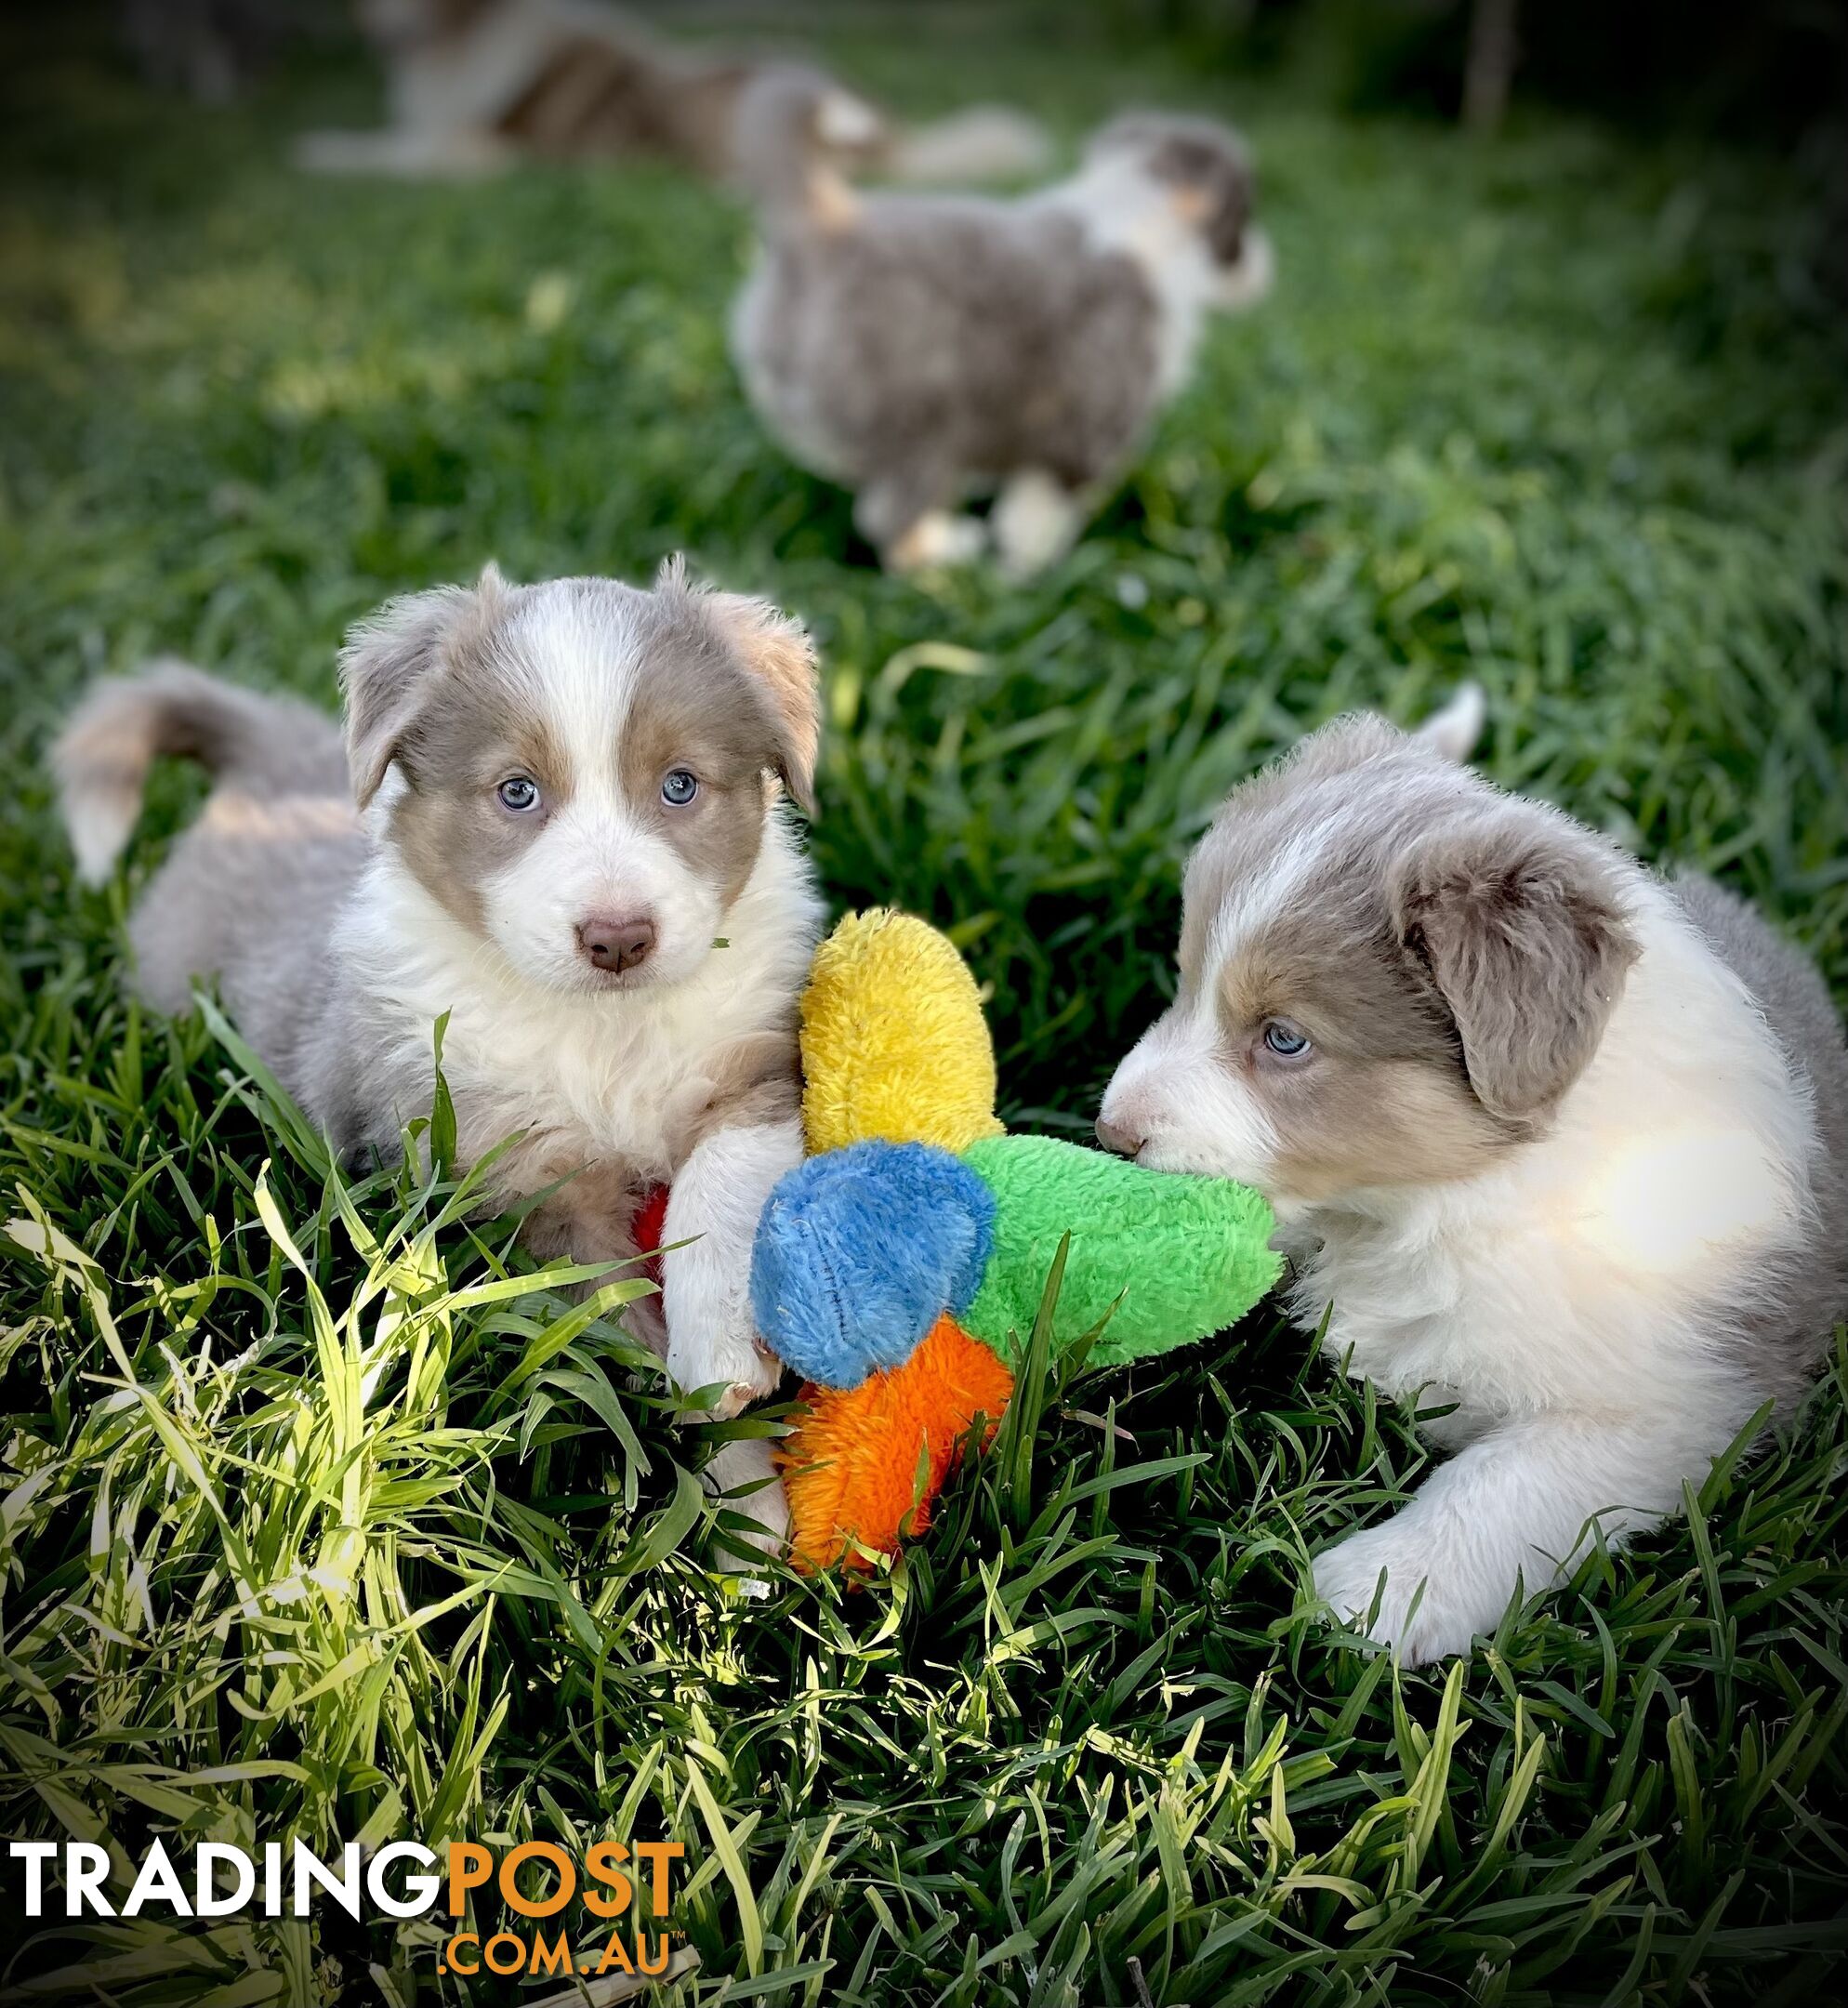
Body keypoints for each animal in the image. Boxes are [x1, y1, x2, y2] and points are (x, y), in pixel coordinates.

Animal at [56, 566, 823, 1550]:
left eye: (681, 786)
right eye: (517, 793)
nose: (618, 939)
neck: (602, 1028)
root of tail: (275, 760)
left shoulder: (756, 1056)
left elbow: (722, 1179)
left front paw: (727, 1376)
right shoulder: (523, 1187)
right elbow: (617, 1326)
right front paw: (733, 1503)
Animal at [727, 72, 1277, 574]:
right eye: (1245, 215)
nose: (1263, 266)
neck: (1134, 219)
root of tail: (824, 227)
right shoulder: (1088, 429)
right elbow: (1042, 514)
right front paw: (1028, 575)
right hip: (920, 426)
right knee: (893, 518)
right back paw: (950, 557)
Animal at [1101, 698, 1848, 1671]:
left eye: (1285, 1038)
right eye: (1186, 983)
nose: (1110, 1132)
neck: (1441, 1204)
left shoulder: (1673, 1406)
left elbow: (1506, 1480)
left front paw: (1378, 1593)